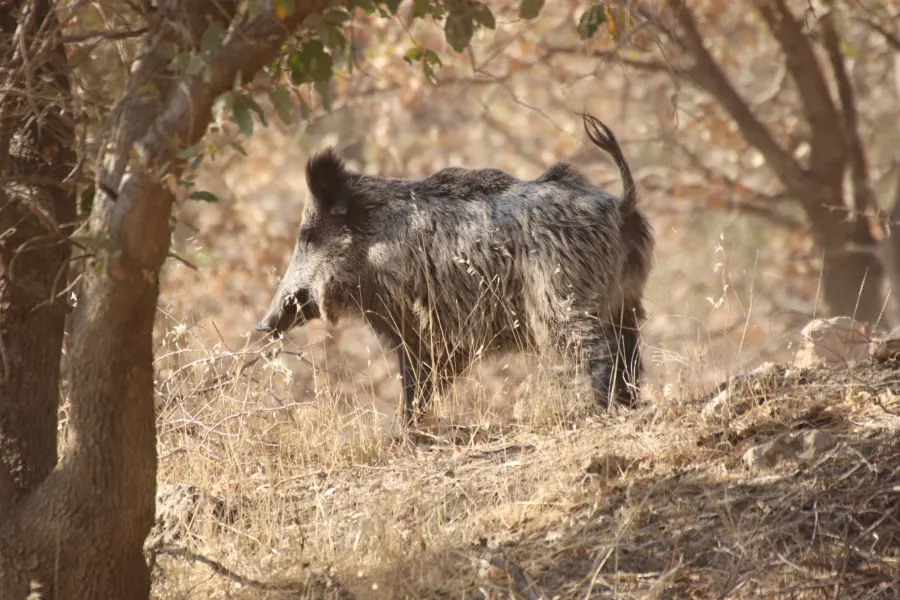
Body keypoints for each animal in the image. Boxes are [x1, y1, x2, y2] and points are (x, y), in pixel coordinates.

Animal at [256, 113, 654, 426]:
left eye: (308, 236)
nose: (263, 325)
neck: (374, 247)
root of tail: (619, 206)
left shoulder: (424, 325)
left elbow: (417, 379)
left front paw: (404, 432)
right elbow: (417, 382)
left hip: (564, 298)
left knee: (598, 350)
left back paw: (601, 409)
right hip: (626, 300)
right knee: (629, 352)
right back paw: (627, 404)